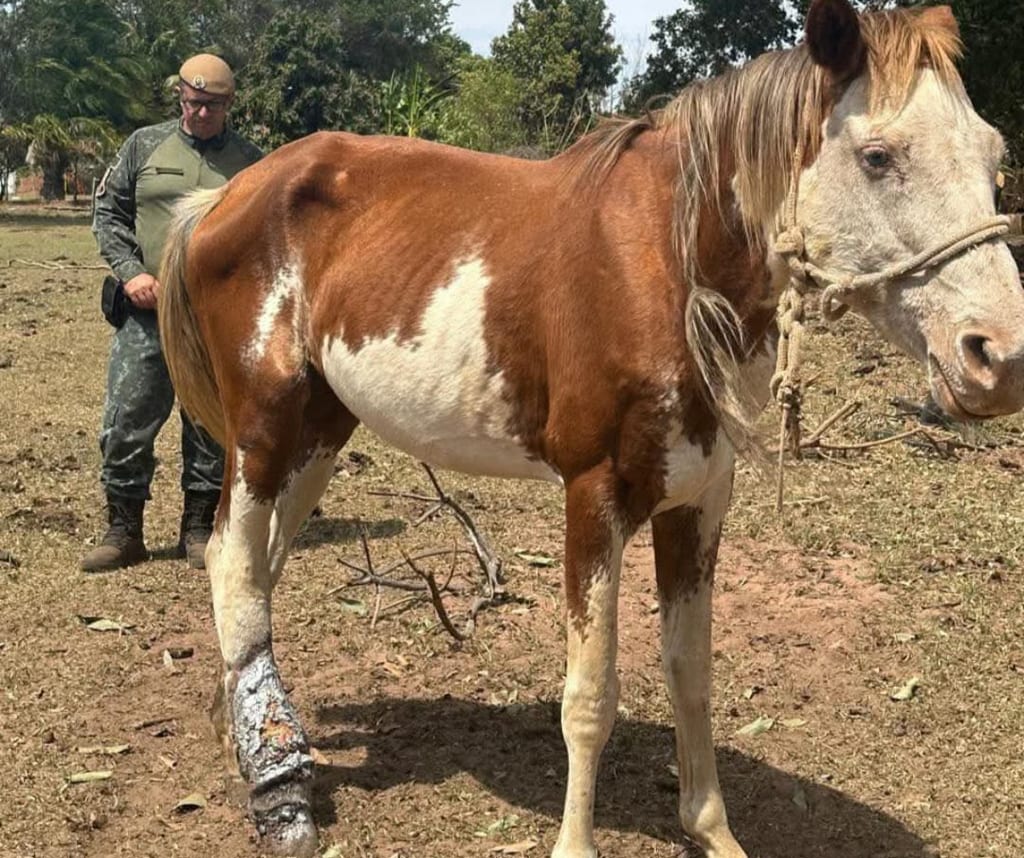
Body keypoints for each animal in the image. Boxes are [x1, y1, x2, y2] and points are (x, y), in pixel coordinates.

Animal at [157, 1, 1024, 856]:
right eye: (877, 157)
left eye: (992, 155)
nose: (1000, 357)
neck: (668, 261)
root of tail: (224, 198)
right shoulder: (594, 497)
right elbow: (589, 697)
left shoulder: (698, 501)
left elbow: (690, 672)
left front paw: (709, 826)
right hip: (264, 427)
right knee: (235, 568)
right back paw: (278, 787)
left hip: (322, 430)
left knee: (255, 570)